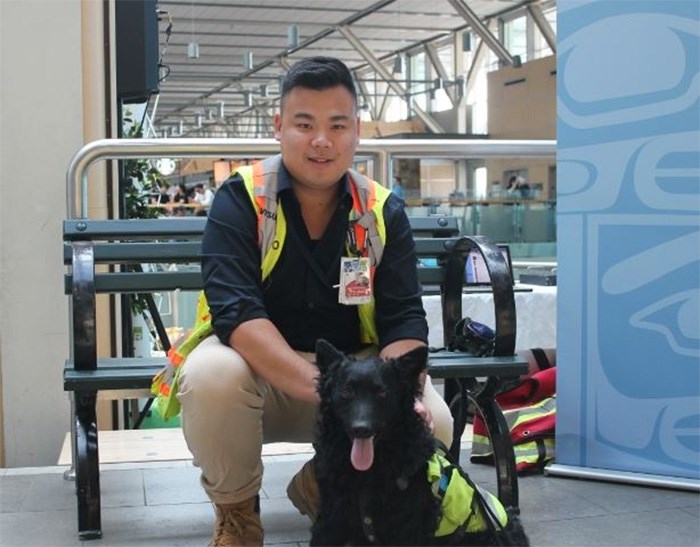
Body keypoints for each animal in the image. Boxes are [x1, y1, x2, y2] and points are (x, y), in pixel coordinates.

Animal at [312, 340, 532, 544]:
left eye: (382, 393)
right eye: (347, 392)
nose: (361, 429)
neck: (369, 472)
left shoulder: (407, 528)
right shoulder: (332, 520)